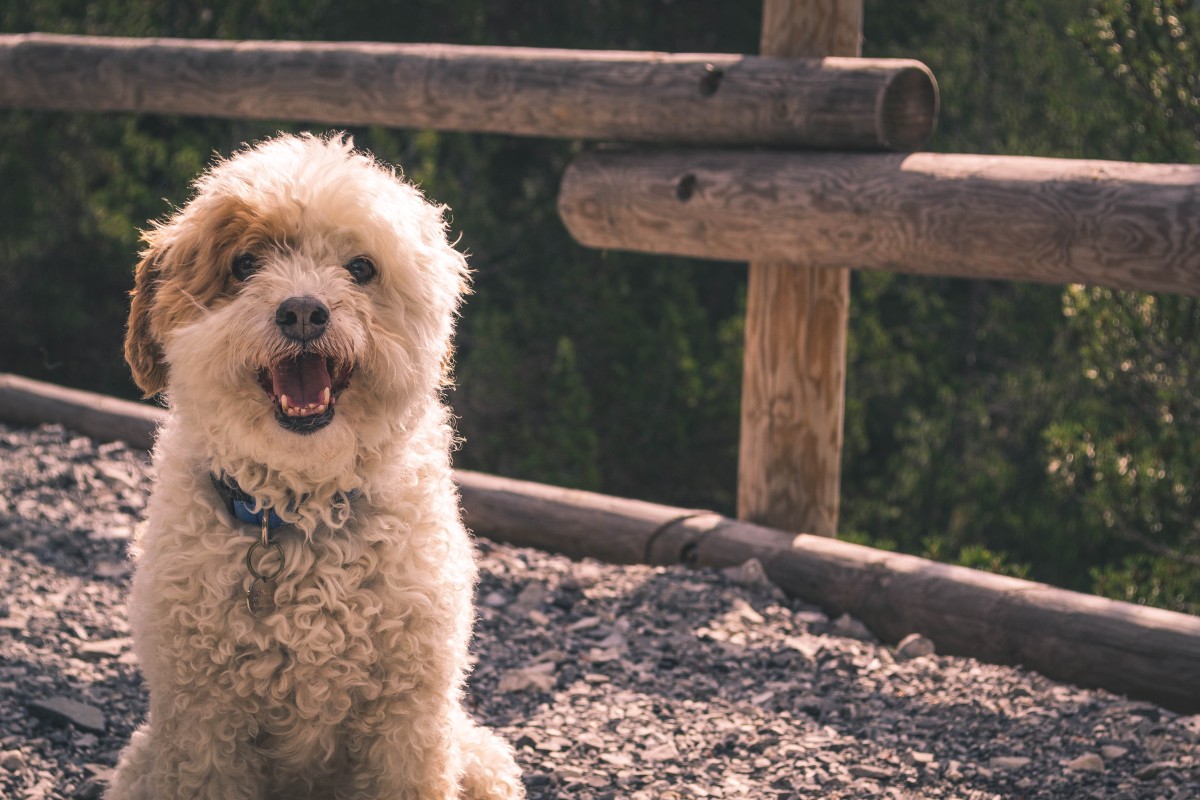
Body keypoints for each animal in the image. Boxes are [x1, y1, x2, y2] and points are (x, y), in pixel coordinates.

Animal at [109, 134, 525, 796]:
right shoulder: (204, 726)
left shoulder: (409, 719)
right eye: (244, 264)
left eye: (360, 268)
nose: (303, 311)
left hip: (481, 759)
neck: (297, 511)